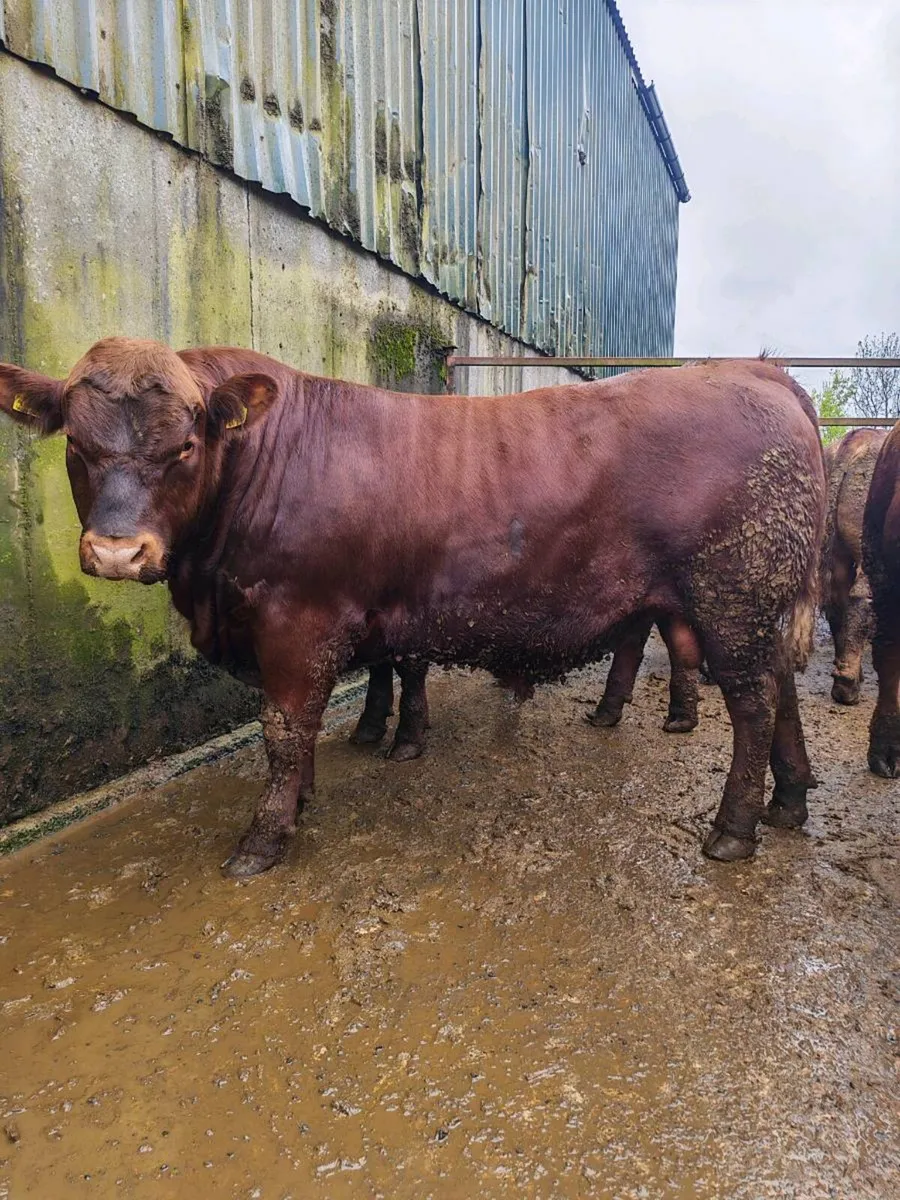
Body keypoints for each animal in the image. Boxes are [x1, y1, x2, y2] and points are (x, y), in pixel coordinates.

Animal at [0, 339, 825, 876]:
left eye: (183, 448)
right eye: (76, 445)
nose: (117, 552)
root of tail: (759, 372)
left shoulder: (298, 621)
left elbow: (285, 727)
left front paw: (266, 835)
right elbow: (340, 705)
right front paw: (314, 789)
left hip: (733, 599)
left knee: (753, 704)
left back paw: (734, 828)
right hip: (758, 606)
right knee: (782, 689)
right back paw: (789, 800)